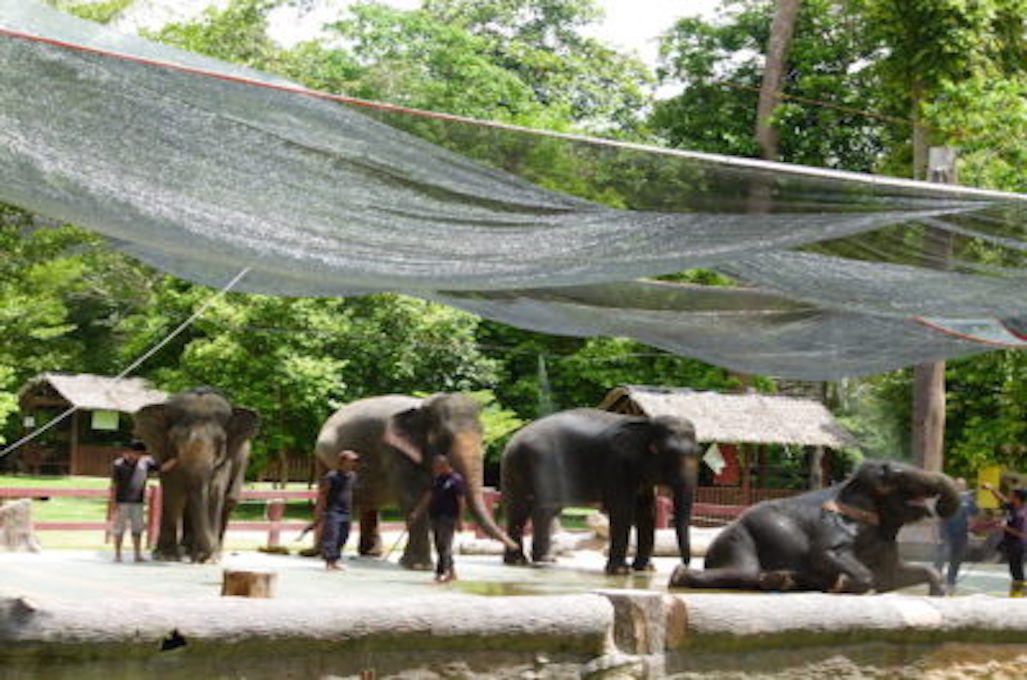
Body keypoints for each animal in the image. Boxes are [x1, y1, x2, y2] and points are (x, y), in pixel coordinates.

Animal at [314, 394, 521, 571]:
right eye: (444, 437)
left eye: (483, 435)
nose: (516, 546)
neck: (423, 405)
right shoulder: (394, 450)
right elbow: (412, 496)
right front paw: (418, 567)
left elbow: (429, 496)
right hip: (324, 458)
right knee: (326, 493)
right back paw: (320, 554)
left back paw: (371, 554)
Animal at [501, 410, 702, 575]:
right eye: (661, 451)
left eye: (698, 452)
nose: (683, 566)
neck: (643, 423)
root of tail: (512, 439)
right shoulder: (614, 464)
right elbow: (622, 509)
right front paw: (621, 572)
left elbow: (647, 510)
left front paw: (644, 569)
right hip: (517, 467)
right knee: (520, 508)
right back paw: (517, 562)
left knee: (545, 510)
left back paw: (545, 561)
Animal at [669, 460, 957, 599]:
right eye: (887, 476)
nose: (940, 506)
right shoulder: (832, 529)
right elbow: (826, 554)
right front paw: (843, 584)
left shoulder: (886, 544)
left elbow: (891, 576)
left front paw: (939, 593)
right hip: (739, 539)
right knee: (743, 571)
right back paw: (679, 575)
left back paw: (783, 580)